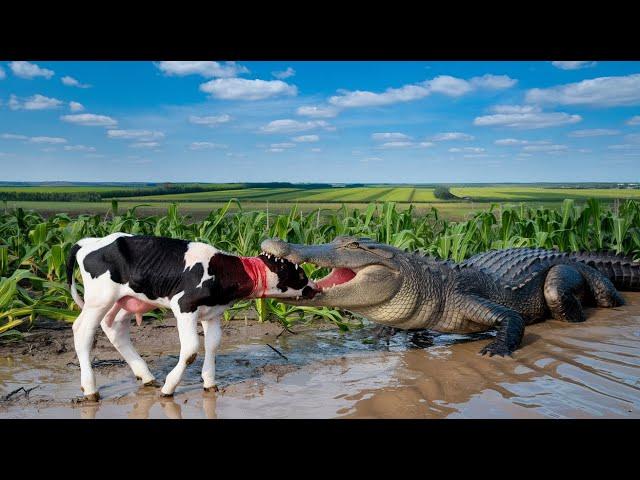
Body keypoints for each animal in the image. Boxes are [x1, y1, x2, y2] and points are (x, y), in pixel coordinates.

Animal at [66, 232, 316, 402]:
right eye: (301, 275)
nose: (314, 288)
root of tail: (89, 241)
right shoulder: (184, 306)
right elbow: (191, 351)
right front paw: (169, 388)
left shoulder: (212, 313)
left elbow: (213, 345)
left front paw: (210, 383)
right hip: (99, 298)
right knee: (82, 330)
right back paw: (90, 389)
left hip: (127, 299)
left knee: (114, 327)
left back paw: (145, 376)